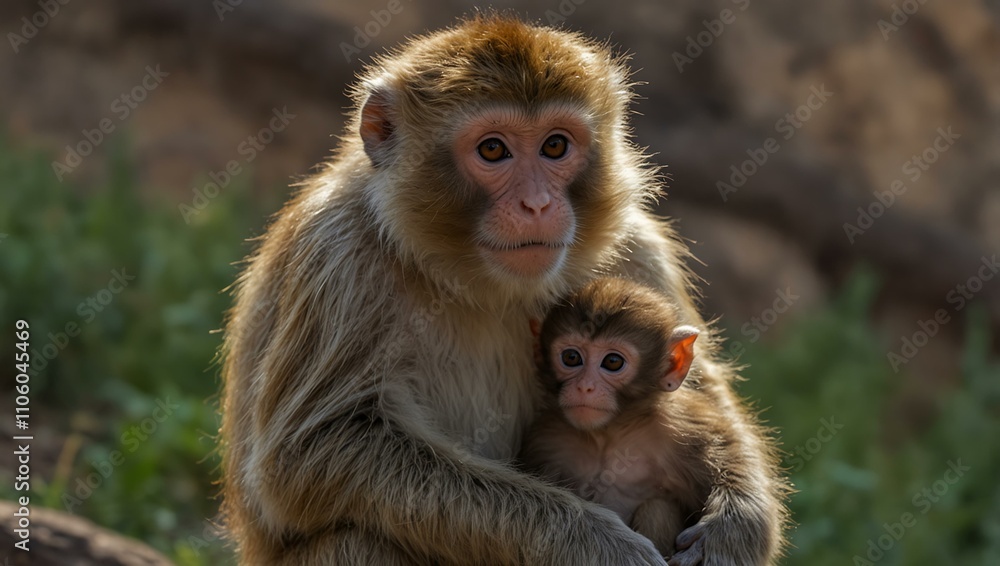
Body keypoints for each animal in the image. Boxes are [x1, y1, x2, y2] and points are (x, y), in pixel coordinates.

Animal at [522, 277, 761, 564]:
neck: (607, 435)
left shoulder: (681, 428)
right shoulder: (547, 441)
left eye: (613, 361)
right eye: (571, 358)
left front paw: (719, 533)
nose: (584, 387)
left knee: (657, 508)